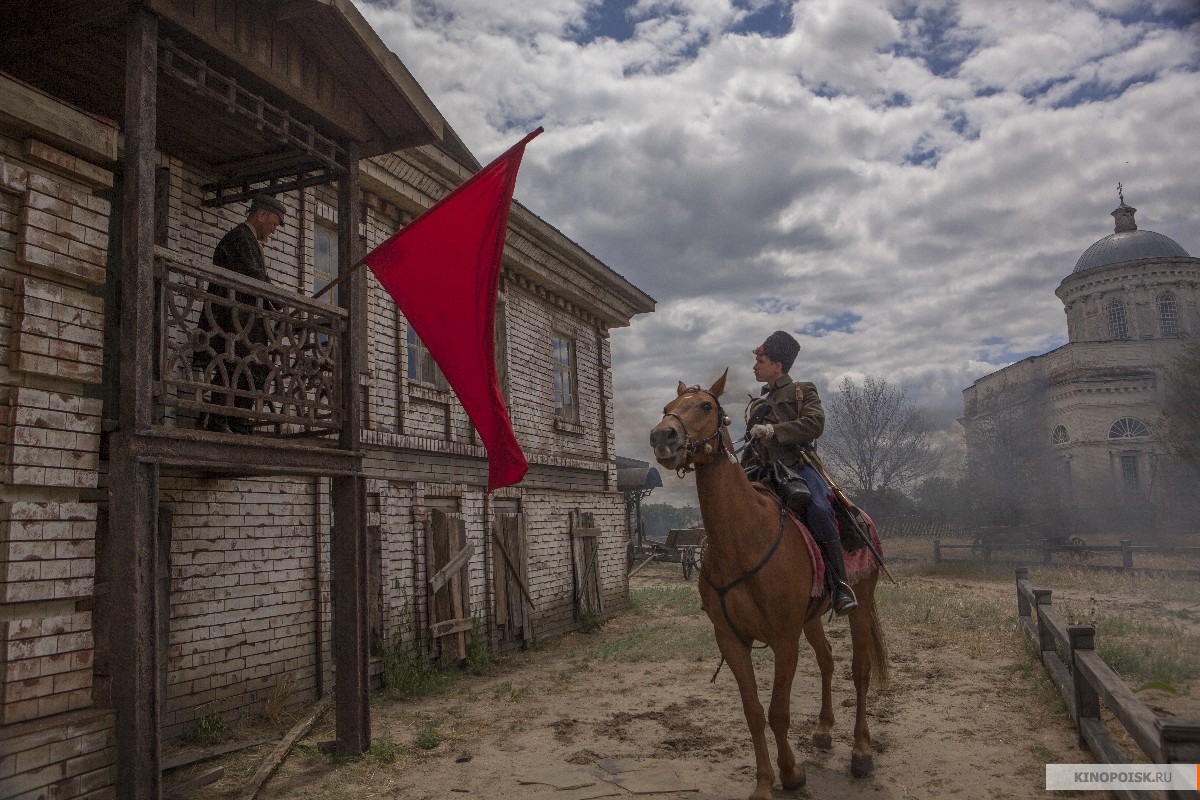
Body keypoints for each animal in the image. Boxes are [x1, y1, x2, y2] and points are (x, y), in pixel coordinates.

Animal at [648, 371, 892, 800]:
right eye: (667, 408)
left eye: (706, 406)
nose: (663, 436)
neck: (742, 541)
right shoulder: (732, 640)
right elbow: (754, 712)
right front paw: (764, 782)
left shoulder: (784, 640)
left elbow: (779, 712)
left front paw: (792, 774)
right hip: (811, 619)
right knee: (828, 659)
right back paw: (824, 730)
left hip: (861, 603)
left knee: (860, 670)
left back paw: (861, 752)